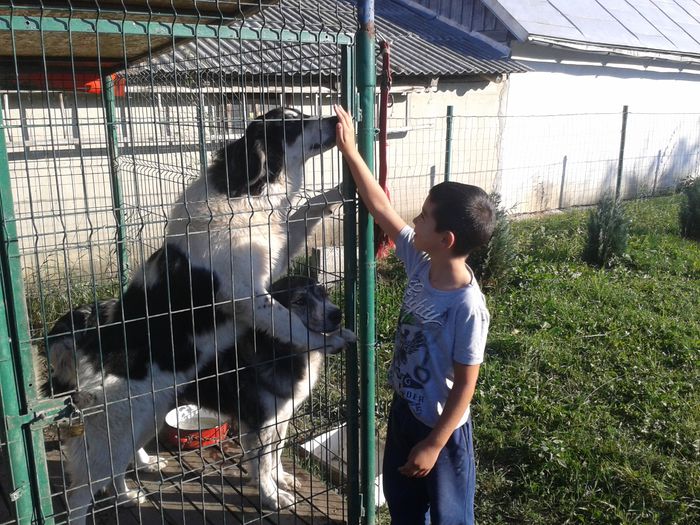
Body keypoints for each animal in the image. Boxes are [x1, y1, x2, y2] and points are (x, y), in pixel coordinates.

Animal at [42, 106, 356, 520]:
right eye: (292, 125)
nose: (336, 121)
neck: (244, 195)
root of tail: (88, 335)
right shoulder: (246, 296)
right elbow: (287, 323)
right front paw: (330, 339)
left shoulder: (273, 257)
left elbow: (310, 206)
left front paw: (343, 188)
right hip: (119, 425)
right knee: (82, 490)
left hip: (145, 414)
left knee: (117, 468)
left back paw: (132, 489)